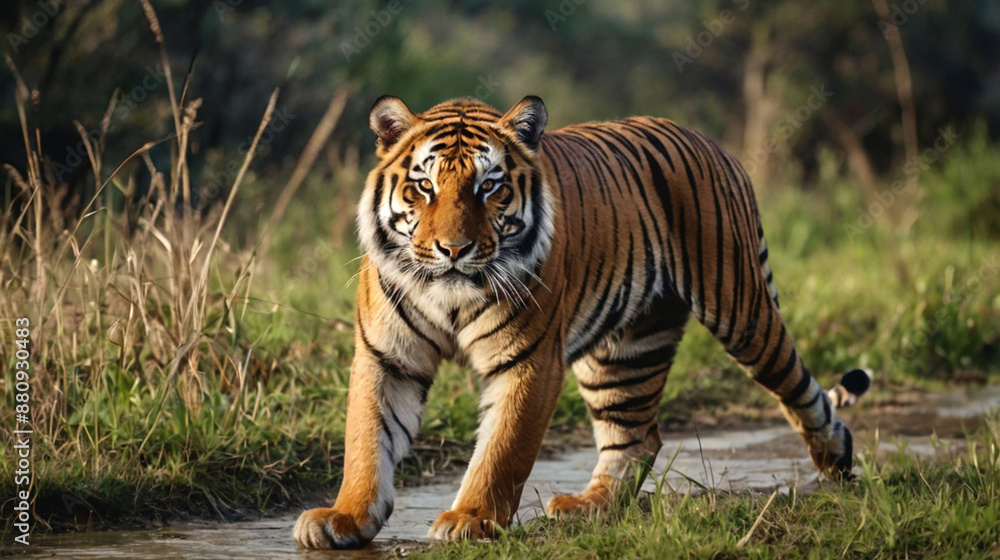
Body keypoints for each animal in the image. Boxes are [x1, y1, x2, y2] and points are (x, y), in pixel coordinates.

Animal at [293, 95, 871, 549]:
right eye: (424, 188)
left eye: (489, 188)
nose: (453, 250)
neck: (449, 296)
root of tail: (710, 142)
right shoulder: (386, 356)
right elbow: (367, 440)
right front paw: (344, 518)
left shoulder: (527, 359)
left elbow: (502, 449)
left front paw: (471, 520)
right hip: (623, 351)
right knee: (636, 435)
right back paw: (589, 506)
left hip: (741, 310)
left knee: (799, 387)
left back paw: (839, 462)